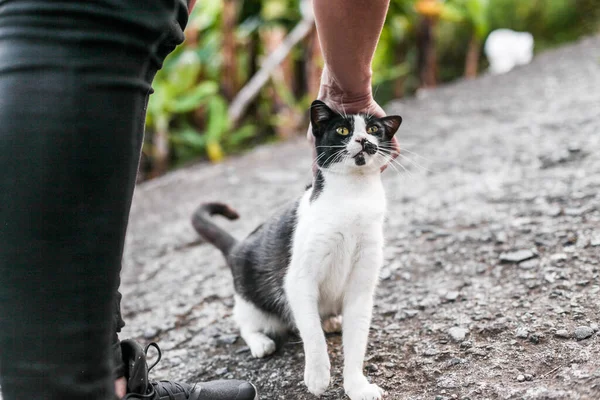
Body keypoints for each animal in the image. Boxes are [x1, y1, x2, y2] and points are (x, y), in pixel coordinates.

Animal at [195, 101, 400, 400]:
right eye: (343, 130)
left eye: (374, 129)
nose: (363, 140)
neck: (354, 199)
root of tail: (237, 247)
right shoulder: (298, 280)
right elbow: (311, 333)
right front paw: (317, 377)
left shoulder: (361, 287)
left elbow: (357, 340)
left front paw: (357, 386)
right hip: (250, 297)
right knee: (245, 321)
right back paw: (260, 341)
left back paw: (330, 321)